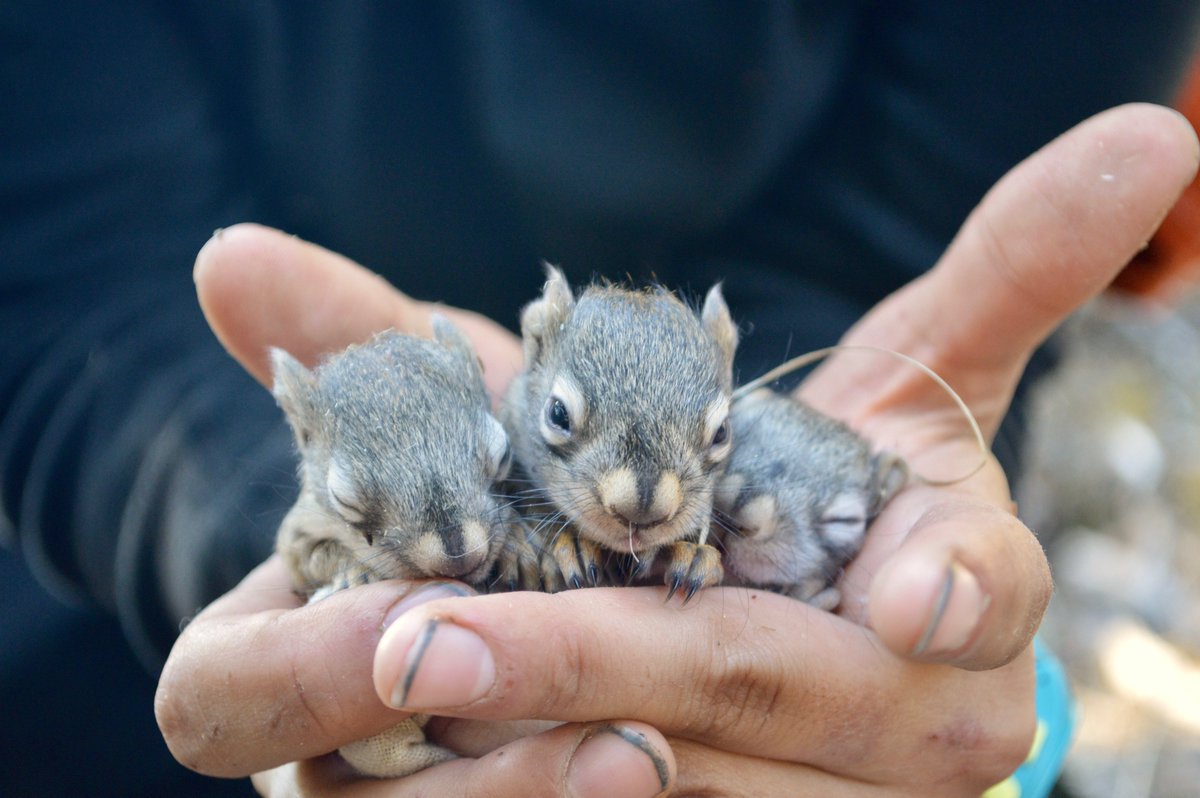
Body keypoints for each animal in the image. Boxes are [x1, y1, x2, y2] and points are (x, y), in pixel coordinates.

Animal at [272, 318, 537, 778]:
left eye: (504, 455)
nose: (459, 556)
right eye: (345, 501)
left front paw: (517, 544)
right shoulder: (296, 534)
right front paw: (354, 573)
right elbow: (309, 559)